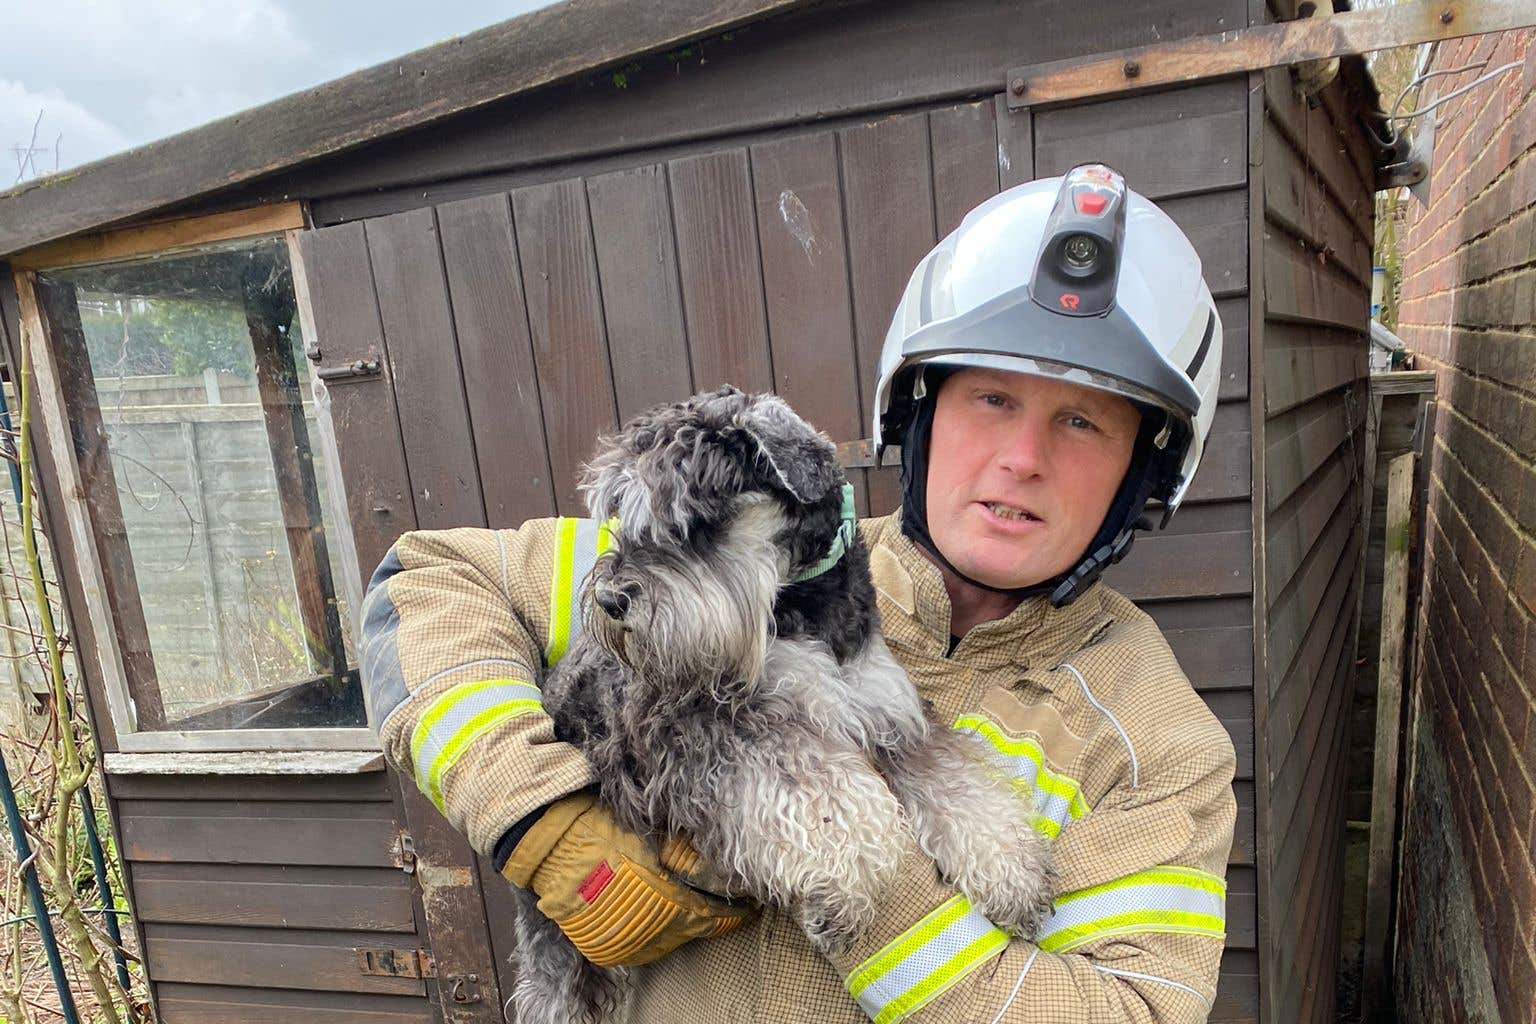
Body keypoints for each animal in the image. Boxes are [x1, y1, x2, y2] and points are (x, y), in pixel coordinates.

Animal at [509, 386, 1050, 1024]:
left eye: (694, 522)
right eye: (620, 516)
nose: (613, 600)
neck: (801, 603)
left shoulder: (892, 720)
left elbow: (957, 786)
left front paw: (1012, 872)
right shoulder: (719, 727)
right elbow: (822, 792)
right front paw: (841, 880)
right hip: (563, 952)